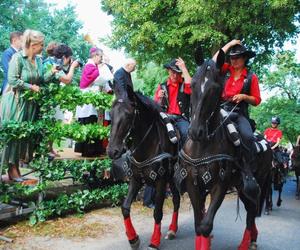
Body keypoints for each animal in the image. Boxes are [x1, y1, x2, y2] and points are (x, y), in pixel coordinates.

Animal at [108, 84, 180, 250]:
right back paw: (172, 230)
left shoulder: (160, 181)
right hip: (171, 177)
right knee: (177, 199)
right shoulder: (135, 179)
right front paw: (133, 238)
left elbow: (158, 212)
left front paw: (154, 241)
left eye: (128, 115)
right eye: (111, 114)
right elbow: (125, 208)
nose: (112, 151)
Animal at [177, 48, 274, 250]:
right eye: (193, 84)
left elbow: (206, 225)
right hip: (240, 187)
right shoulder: (193, 184)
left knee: (251, 211)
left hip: (256, 183)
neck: (203, 144)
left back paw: (247, 242)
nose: (195, 131)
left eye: (215, 88)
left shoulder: (220, 185)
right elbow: (199, 224)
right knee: (250, 210)